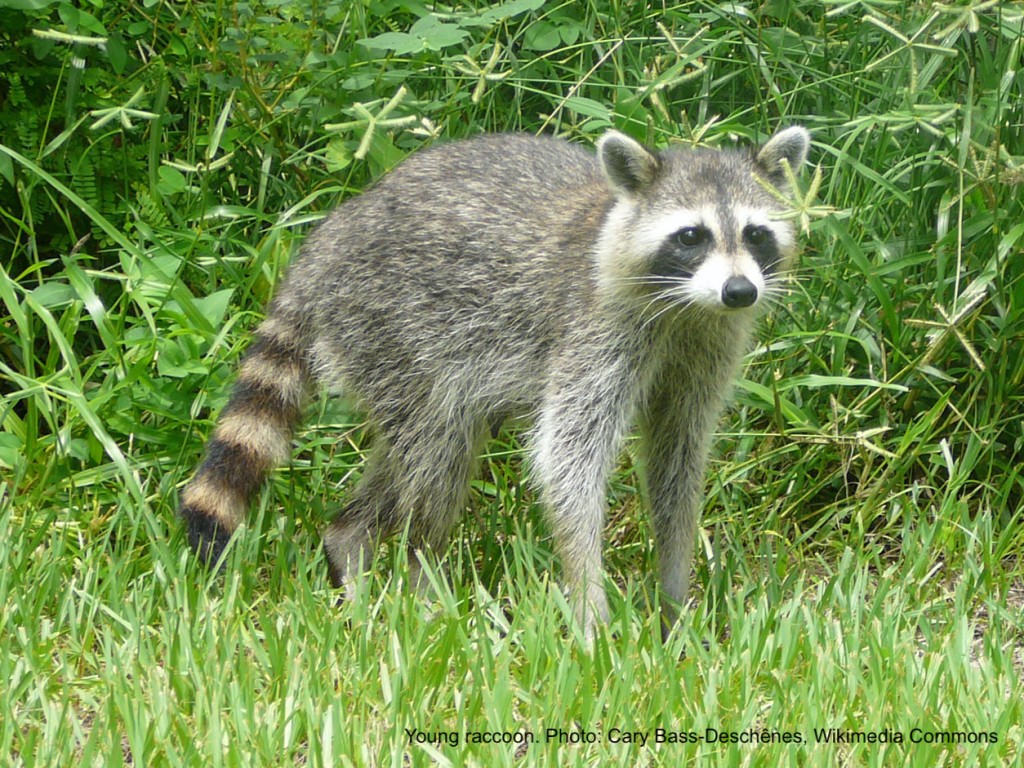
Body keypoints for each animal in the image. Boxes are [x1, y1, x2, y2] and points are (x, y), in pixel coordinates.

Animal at [179, 125, 810, 641]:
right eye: (691, 236)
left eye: (755, 234)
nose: (739, 291)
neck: (686, 307)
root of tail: (326, 241)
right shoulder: (593, 329)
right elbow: (567, 463)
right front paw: (590, 603)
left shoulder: (707, 346)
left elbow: (677, 462)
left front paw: (674, 602)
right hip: (393, 330)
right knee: (436, 458)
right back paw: (420, 577)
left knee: (418, 455)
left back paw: (350, 542)